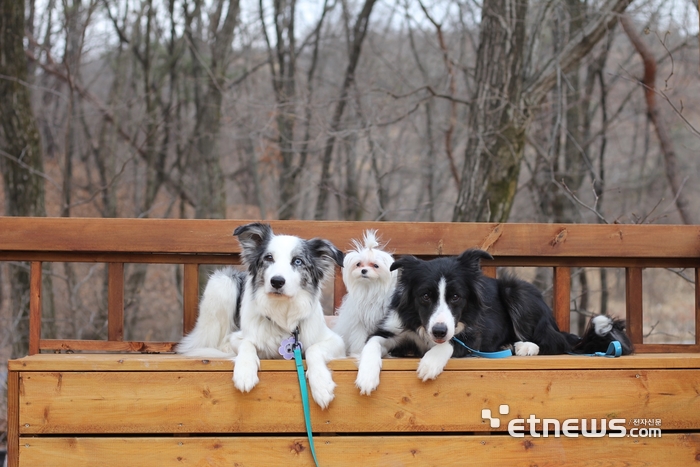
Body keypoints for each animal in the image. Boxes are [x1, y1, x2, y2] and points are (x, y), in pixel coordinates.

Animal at [178, 223, 348, 410]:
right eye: (269, 258)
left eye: (298, 261)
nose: (277, 281)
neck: (282, 311)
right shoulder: (239, 336)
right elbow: (246, 343)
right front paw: (245, 372)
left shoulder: (335, 341)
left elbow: (314, 348)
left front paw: (322, 384)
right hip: (222, 282)